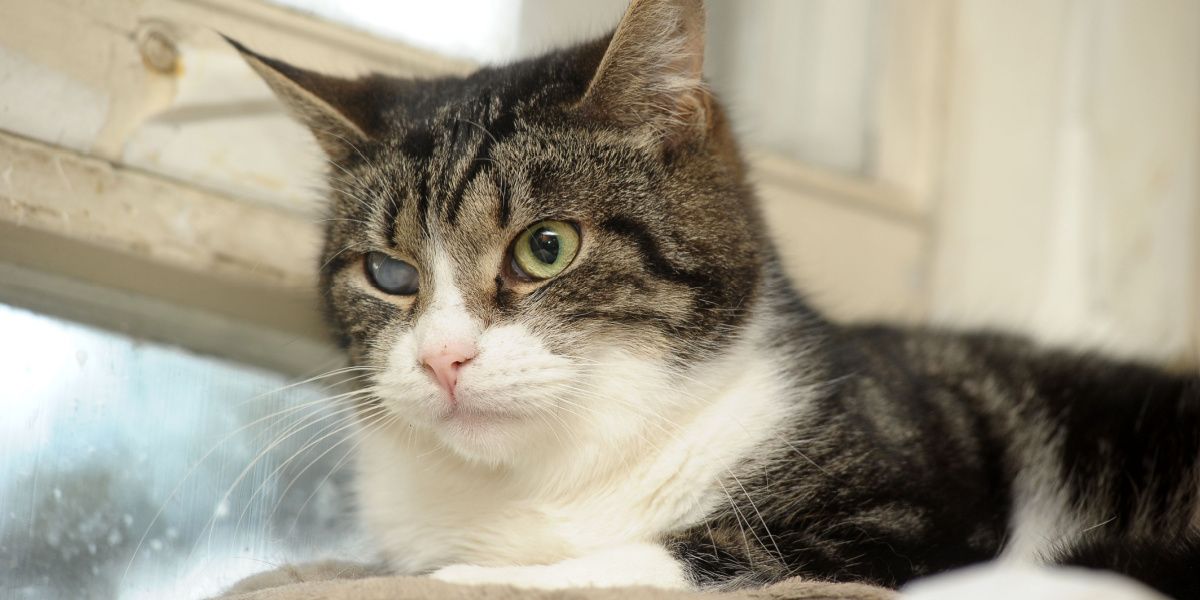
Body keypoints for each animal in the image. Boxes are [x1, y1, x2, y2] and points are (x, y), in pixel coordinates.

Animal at [226, 0, 1200, 597]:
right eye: (388, 274)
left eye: (547, 247)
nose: (441, 357)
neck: (551, 477)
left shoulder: (919, 504)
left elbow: (696, 555)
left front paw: (467, 578)